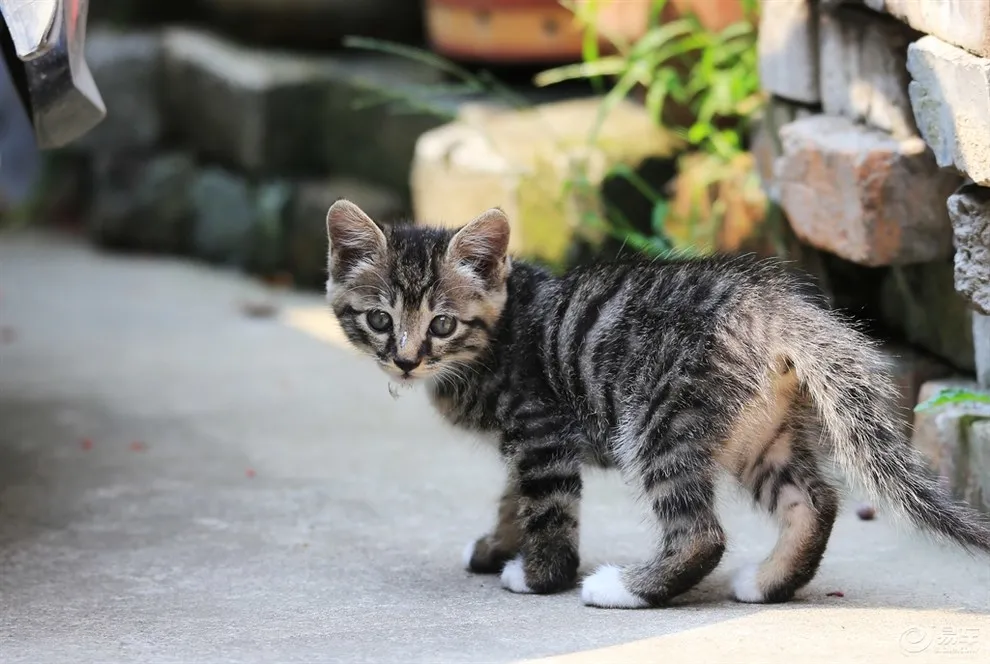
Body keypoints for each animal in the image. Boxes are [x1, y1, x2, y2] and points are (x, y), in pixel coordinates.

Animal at [328, 198, 990, 608]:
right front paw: (498, 546)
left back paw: (625, 588)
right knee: (813, 500)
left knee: (701, 534)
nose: (405, 359)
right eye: (380, 319)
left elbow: (546, 507)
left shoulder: (542, 431)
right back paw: (768, 583)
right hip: (758, 431)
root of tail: (771, 305)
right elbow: (513, 497)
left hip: (660, 418)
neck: (501, 327)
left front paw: (539, 575)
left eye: (441, 324)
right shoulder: (523, 443)